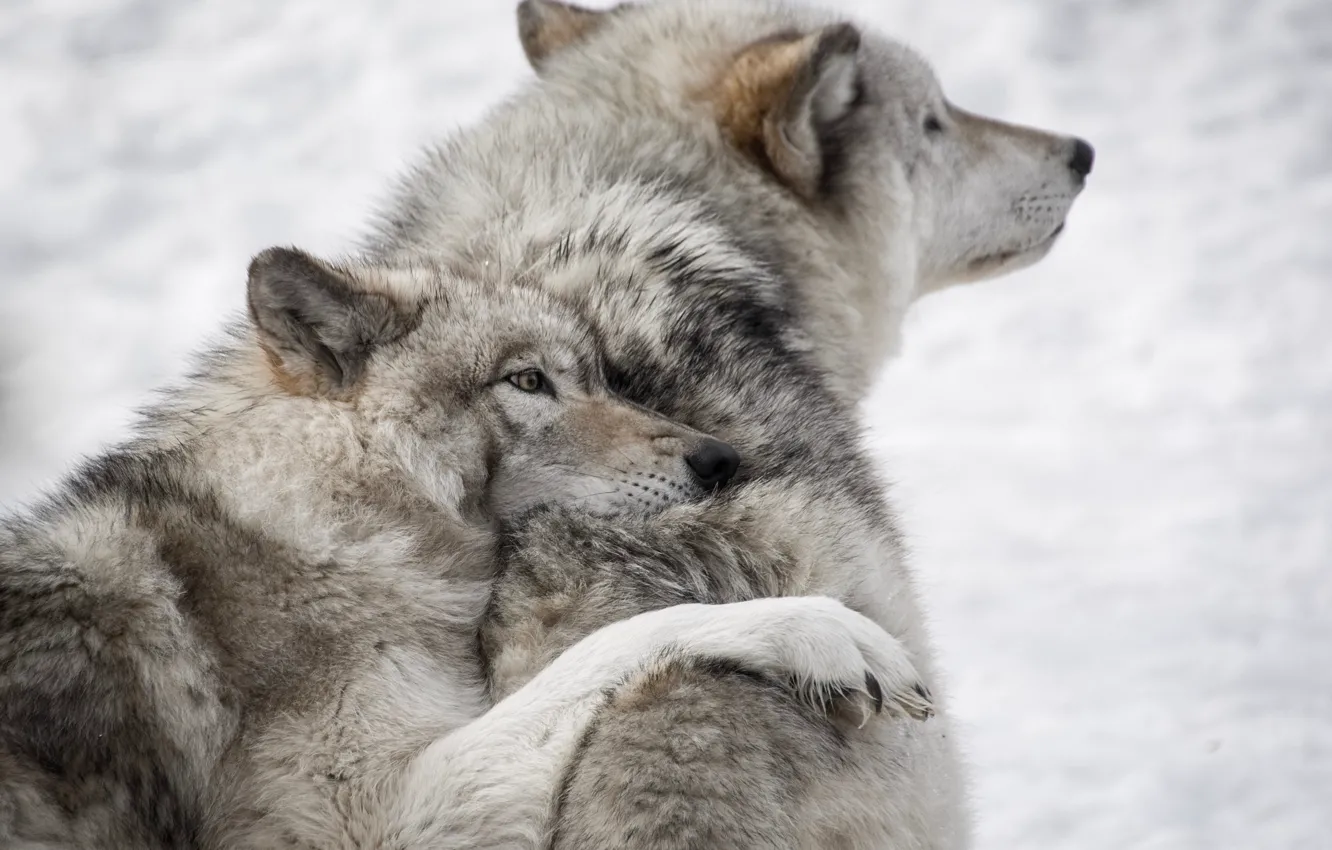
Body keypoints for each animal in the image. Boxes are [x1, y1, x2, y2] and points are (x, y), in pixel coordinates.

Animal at [0, 246, 930, 847]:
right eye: (527, 381)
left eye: (599, 376)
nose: (719, 459)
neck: (321, 520)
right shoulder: (380, 816)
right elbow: (622, 640)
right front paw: (824, 633)